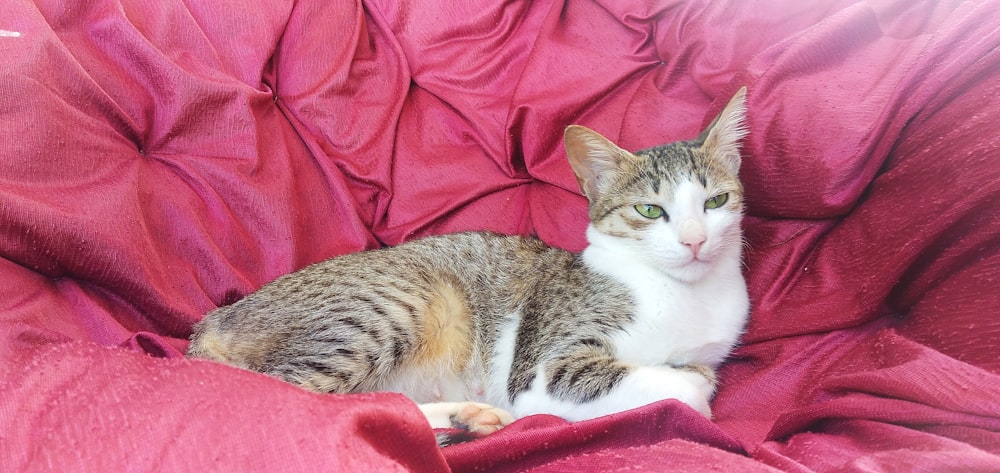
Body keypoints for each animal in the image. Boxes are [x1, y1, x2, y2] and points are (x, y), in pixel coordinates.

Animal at [188, 87, 752, 442]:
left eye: (716, 202)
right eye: (650, 210)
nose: (695, 240)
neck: (685, 294)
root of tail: (215, 319)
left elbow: (699, 371)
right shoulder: (544, 368)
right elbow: (684, 388)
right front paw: (685, 390)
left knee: (373, 405)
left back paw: (467, 418)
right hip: (404, 301)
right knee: (293, 399)